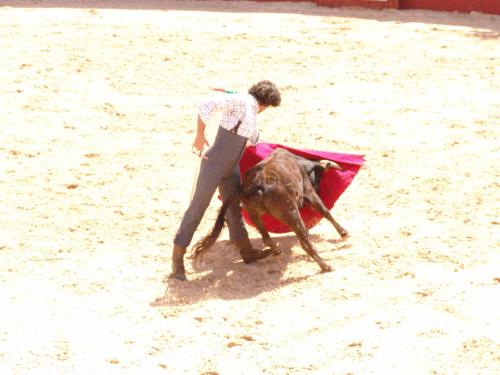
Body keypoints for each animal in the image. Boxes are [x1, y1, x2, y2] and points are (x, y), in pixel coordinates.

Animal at [193, 148, 350, 274]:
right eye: (318, 178)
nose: (319, 189)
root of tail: (258, 184)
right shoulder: (309, 191)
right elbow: (325, 211)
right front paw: (344, 233)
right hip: (291, 212)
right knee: (305, 241)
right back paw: (325, 266)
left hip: (253, 213)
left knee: (266, 237)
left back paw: (275, 251)